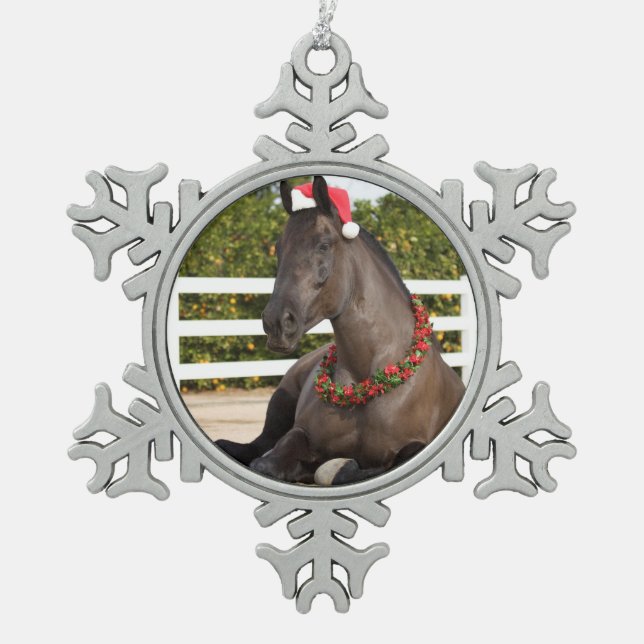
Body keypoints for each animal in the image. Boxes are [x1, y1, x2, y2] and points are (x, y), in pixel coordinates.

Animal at [215, 176, 465, 485]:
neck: (370, 380)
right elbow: (266, 462)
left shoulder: (415, 444)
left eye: (324, 245)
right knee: (254, 447)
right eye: (278, 247)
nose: (276, 323)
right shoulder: (299, 435)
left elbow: (358, 468)